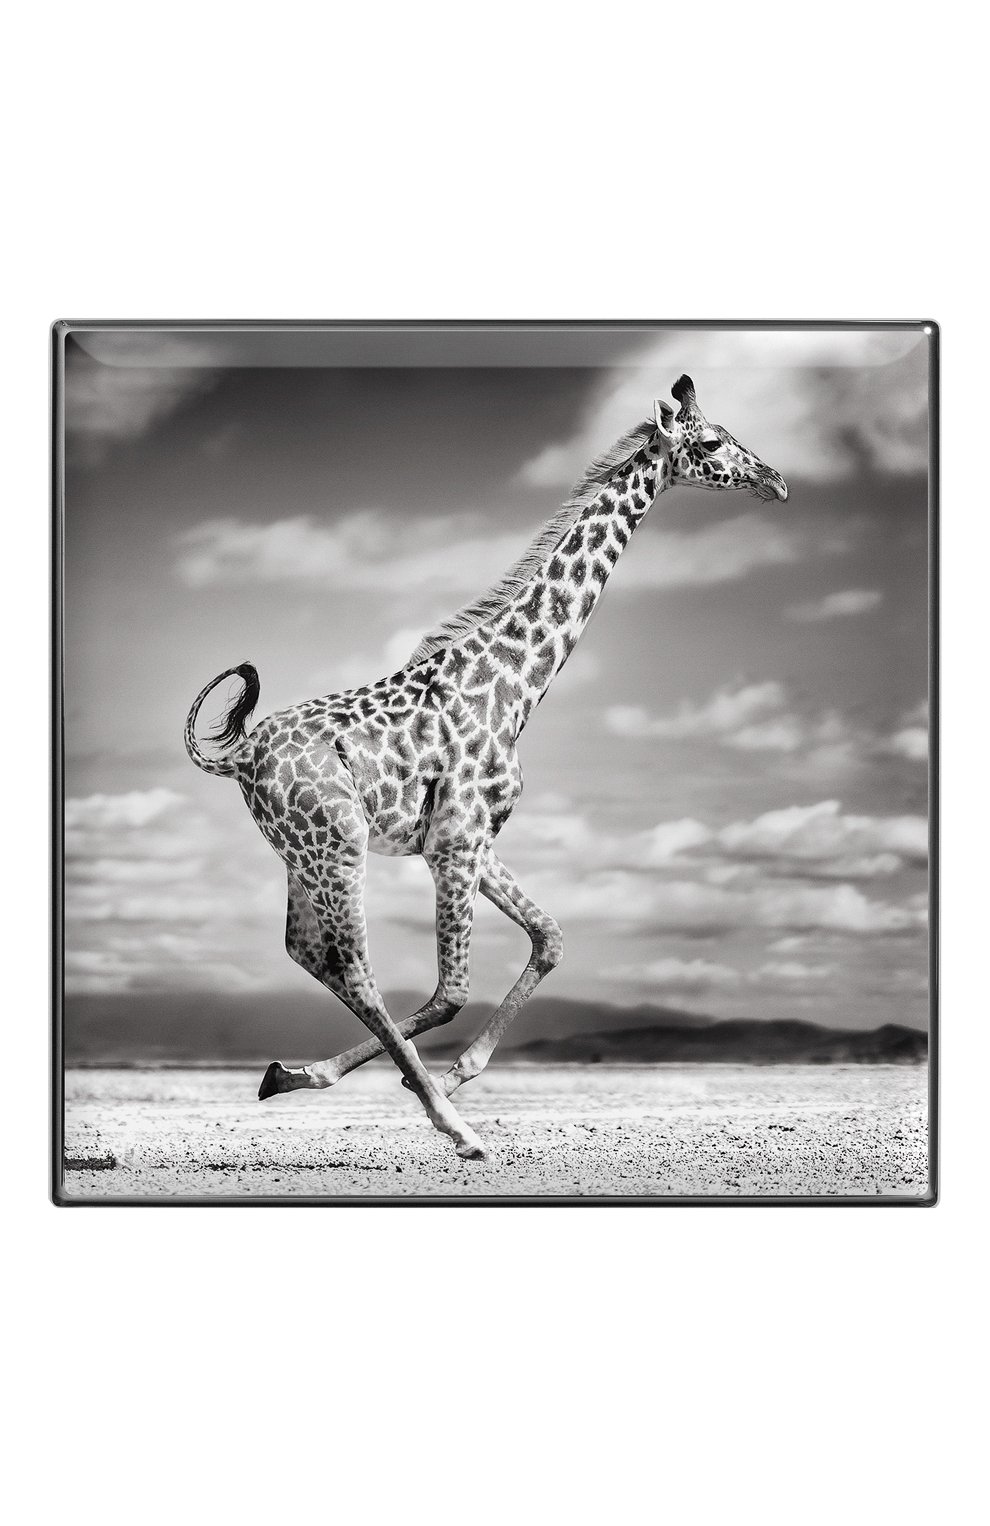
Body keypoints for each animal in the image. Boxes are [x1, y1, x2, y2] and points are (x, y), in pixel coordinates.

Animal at [184, 374, 787, 1160]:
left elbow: (550, 938)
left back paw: (294, 1074)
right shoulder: (455, 843)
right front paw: (442, 1092)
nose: (777, 481)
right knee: (354, 966)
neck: (517, 685)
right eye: (711, 442)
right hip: (338, 845)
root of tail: (240, 756)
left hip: (301, 853)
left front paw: (448, 1073)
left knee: (308, 952)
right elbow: (451, 991)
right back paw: (455, 1127)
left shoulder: (472, 839)